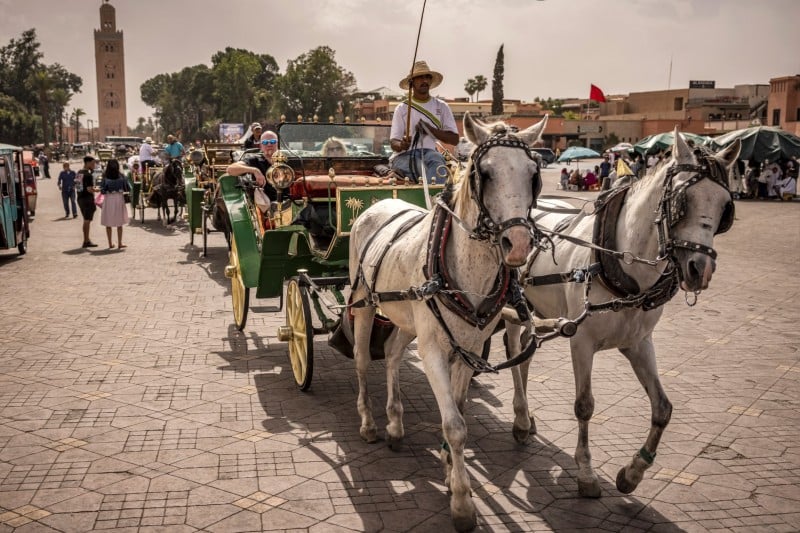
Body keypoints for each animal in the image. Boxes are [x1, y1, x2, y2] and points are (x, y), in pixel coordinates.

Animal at [350, 111, 552, 528]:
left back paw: (395, 424)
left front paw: (447, 466)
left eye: (533, 174)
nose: (518, 244)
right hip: (364, 304)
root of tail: (379, 204)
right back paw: (370, 424)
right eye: (484, 173)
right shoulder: (433, 352)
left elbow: (459, 410)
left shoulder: (469, 349)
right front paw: (461, 502)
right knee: (362, 361)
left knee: (392, 353)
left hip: (407, 318)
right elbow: (455, 425)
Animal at [506, 131, 744, 496]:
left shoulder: (639, 343)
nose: (699, 270)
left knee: (525, 353)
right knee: (513, 351)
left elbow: (663, 408)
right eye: (683, 202)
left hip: (536, 309)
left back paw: (528, 419)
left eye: (724, 208)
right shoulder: (581, 341)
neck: (622, 265)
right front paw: (586, 473)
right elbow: (584, 406)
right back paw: (520, 419)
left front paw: (633, 473)